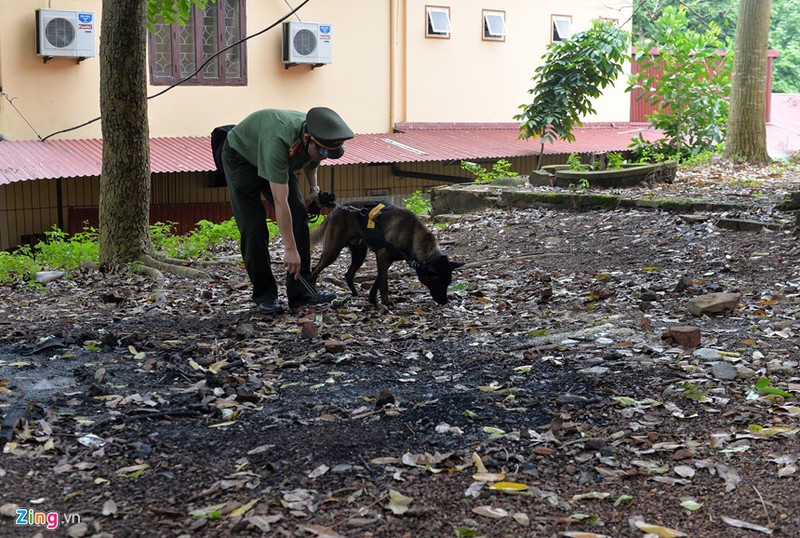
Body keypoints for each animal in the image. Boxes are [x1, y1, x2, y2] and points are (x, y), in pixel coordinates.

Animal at [310, 201, 466, 304]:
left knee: (348, 274)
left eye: (448, 283)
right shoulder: (382, 255)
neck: (412, 234)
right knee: (314, 270)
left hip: (360, 254)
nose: (445, 302)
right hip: (332, 251)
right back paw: (314, 290)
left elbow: (379, 279)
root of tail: (335, 211)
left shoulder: (387, 260)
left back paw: (355, 293)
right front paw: (386, 301)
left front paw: (372, 298)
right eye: (439, 282)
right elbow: (384, 281)